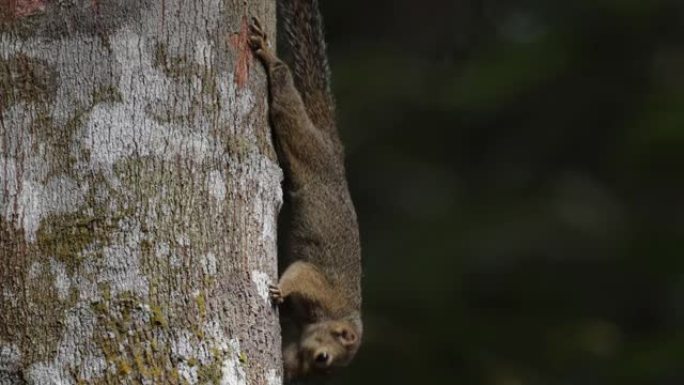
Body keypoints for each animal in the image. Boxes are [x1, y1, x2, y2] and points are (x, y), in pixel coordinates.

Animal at [247, 0, 364, 380]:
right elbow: (301, 272)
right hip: (310, 150)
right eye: (324, 358)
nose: (300, 371)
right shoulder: (321, 289)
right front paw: (280, 288)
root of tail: (334, 149)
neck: (330, 316)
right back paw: (270, 58)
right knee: (287, 106)